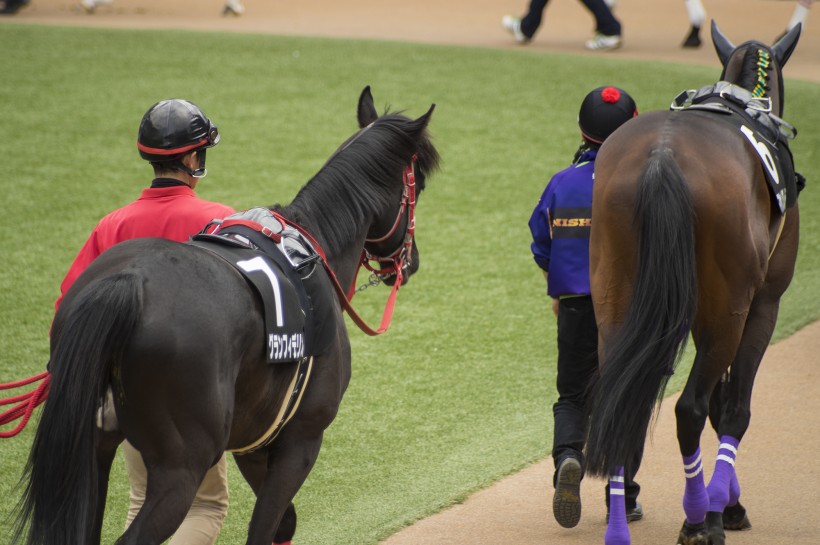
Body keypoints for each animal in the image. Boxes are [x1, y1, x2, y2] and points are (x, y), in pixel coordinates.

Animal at [9, 85, 438, 544]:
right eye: (419, 184)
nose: (410, 261)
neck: (309, 248)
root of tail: (128, 283)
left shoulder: (253, 440)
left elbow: (284, 521)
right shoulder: (302, 437)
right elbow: (268, 525)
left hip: (92, 450)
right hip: (183, 465)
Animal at [588, 23, 804, 544]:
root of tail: (662, 155)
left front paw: (723, 504)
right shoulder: (763, 303)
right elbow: (732, 407)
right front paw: (723, 508)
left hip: (617, 299)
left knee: (617, 404)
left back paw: (620, 528)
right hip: (728, 309)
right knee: (689, 407)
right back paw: (695, 519)